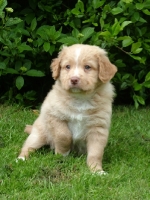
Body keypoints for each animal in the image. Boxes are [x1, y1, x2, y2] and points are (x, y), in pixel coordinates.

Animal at [17, 44, 117, 173]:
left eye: (87, 67)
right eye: (67, 67)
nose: (74, 79)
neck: (80, 98)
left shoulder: (98, 128)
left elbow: (96, 152)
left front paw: (97, 171)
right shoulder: (54, 115)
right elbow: (64, 135)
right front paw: (62, 154)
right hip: (38, 134)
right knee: (28, 147)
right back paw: (21, 159)